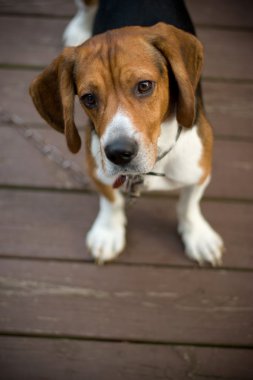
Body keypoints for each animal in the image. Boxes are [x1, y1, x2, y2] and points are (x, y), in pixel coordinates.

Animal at [29, 0, 223, 264]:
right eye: (89, 98)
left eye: (144, 86)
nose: (118, 153)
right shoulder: (97, 170)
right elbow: (110, 201)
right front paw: (108, 232)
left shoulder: (199, 171)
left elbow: (189, 205)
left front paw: (198, 236)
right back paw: (79, 30)